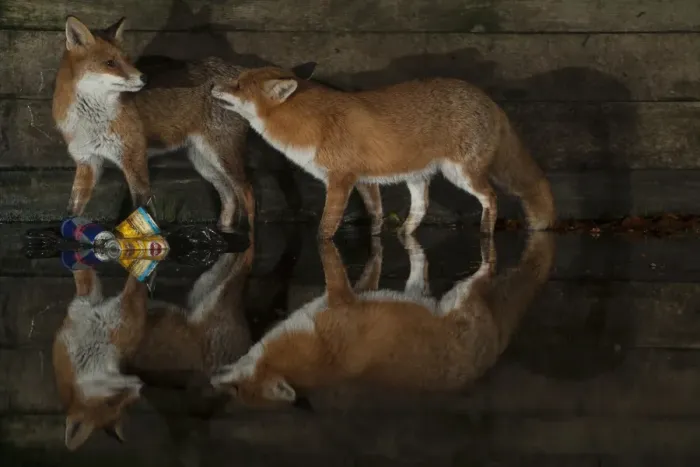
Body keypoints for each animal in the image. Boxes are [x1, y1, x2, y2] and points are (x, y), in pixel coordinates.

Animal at [52, 16, 254, 231]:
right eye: (110, 63)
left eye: (127, 59)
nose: (144, 77)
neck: (90, 119)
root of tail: (238, 70)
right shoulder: (87, 161)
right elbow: (72, 210)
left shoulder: (134, 157)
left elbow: (140, 205)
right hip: (203, 162)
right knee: (230, 196)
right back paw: (223, 228)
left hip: (222, 156)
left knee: (247, 193)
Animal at [52, 245, 254, 451]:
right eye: (114, 403)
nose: (139, 385)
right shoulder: (126, 316)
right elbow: (133, 286)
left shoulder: (89, 304)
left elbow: (85, 274)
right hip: (217, 295)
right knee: (244, 263)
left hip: (206, 285)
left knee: (236, 260)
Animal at [210, 66, 556, 238]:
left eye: (238, 85)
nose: (212, 85)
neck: (313, 123)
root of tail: (490, 100)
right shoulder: (364, 180)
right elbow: (375, 214)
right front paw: (376, 241)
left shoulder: (340, 180)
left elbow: (325, 227)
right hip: (418, 177)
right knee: (422, 207)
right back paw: (404, 235)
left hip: (462, 175)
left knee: (491, 198)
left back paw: (486, 234)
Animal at [210, 231, 555, 407]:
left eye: (237, 391)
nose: (211, 379)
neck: (320, 349)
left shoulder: (339, 300)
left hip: (466, 292)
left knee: (488, 267)